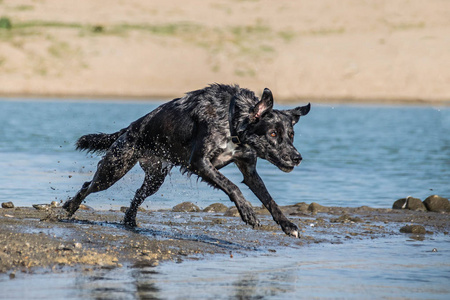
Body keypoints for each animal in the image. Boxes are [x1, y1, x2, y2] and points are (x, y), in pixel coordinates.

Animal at [63, 84, 310, 237]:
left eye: (291, 135)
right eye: (273, 134)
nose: (297, 158)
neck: (232, 120)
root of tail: (129, 129)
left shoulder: (249, 171)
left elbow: (270, 200)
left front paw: (288, 225)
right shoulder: (199, 163)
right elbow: (232, 186)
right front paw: (247, 212)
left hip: (155, 178)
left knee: (138, 195)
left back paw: (130, 221)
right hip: (114, 168)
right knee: (87, 186)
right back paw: (69, 208)